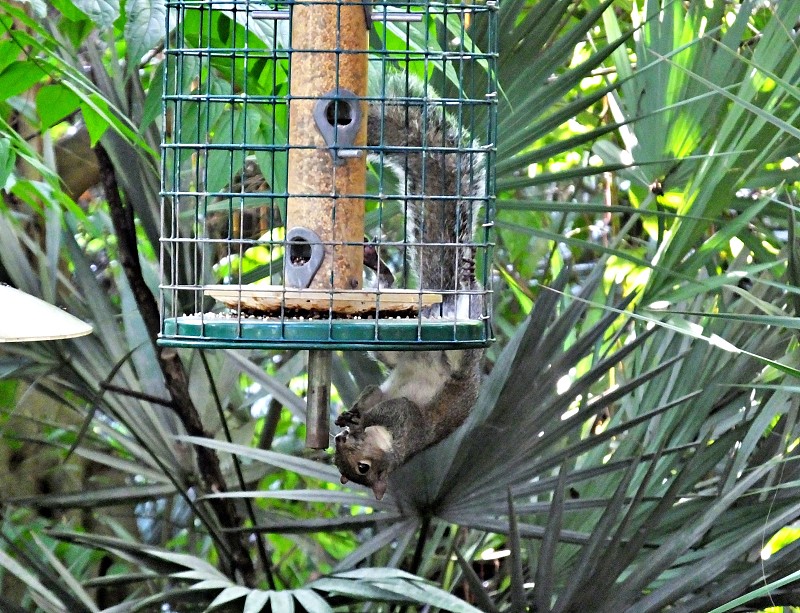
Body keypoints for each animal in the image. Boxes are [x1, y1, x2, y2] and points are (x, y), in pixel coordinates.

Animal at [332, 74, 484, 500]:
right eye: (342, 465)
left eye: (363, 469)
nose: (340, 441)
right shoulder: (380, 391)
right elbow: (370, 392)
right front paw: (349, 413)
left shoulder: (406, 419)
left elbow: (391, 408)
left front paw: (355, 418)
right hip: (397, 345)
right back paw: (378, 268)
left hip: (458, 358)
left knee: (466, 339)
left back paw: (472, 285)